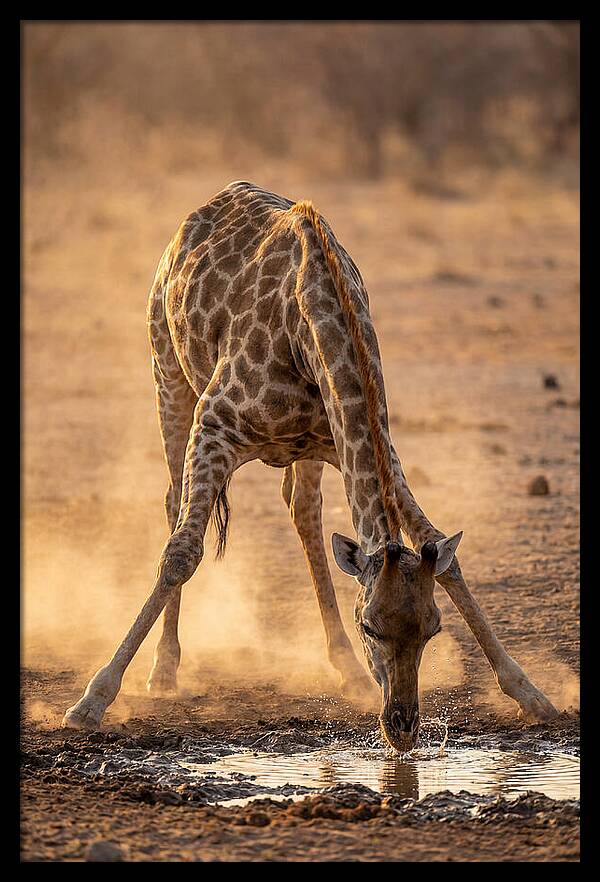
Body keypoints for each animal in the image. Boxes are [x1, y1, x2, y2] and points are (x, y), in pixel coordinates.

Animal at [62, 181, 558, 744]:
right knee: (174, 505)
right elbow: (181, 555)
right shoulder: (214, 425)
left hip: (306, 450)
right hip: (167, 373)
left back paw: (346, 669)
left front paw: (531, 693)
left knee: (304, 511)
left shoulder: (366, 444)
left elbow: (445, 558)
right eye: (371, 625)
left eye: (432, 628)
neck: (314, 326)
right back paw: (164, 670)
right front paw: (93, 699)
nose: (402, 726)